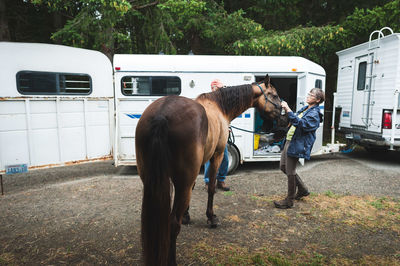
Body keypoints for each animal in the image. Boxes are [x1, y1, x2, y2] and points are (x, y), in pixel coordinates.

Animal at [136, 74, 282, 264]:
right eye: (274, 95)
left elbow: (193, 189)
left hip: (152, 180)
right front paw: (211, 217)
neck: (219, 107)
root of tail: (162, 115)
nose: (284, 114)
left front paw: (187, 215)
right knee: (173, 224)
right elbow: (211, 188)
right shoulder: (216, 156)